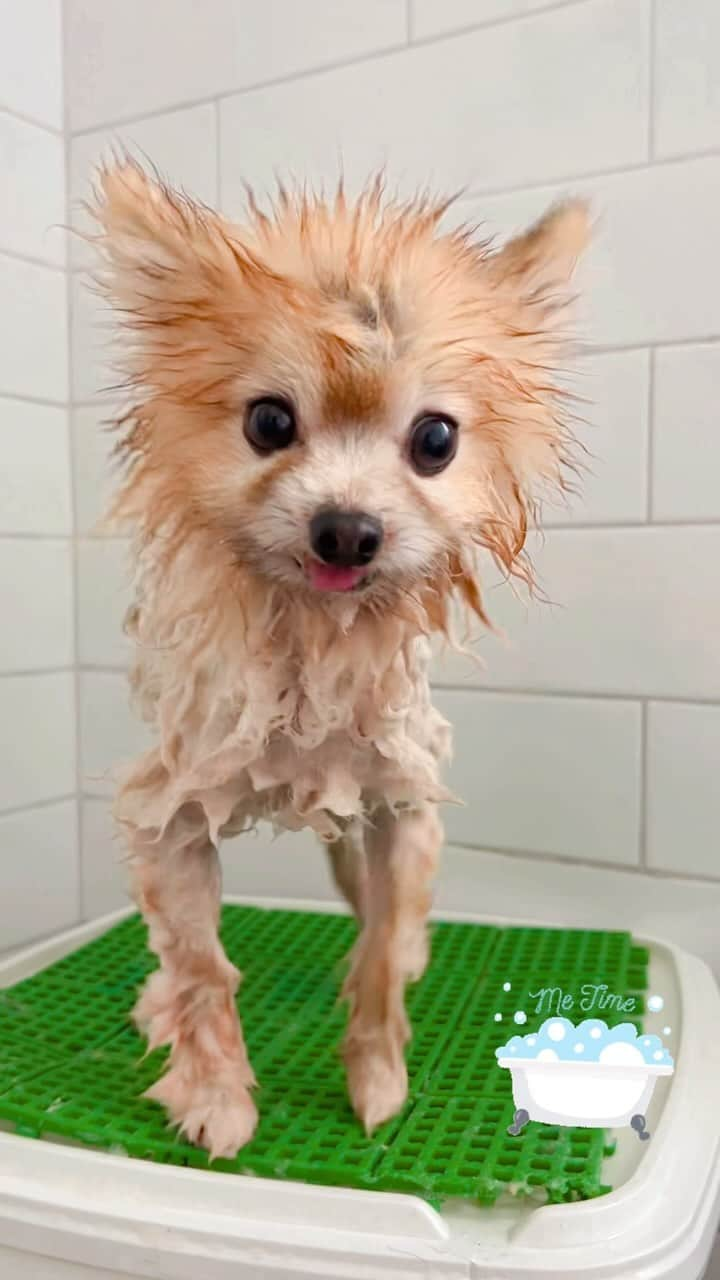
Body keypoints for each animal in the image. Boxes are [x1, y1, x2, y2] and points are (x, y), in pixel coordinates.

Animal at [90, 162, 584, 1162]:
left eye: (435, 440)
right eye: (270, 421)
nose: (348, 530)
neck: (310, 657)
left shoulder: (400, 813)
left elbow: (382, 954)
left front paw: (378, 1082)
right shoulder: (169, 823)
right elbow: (200, 966)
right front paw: (216, 1095)